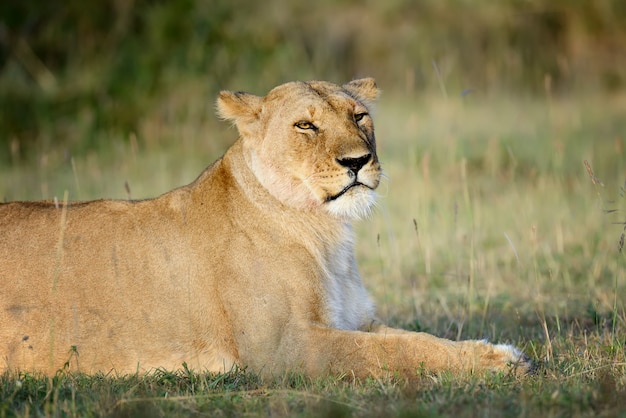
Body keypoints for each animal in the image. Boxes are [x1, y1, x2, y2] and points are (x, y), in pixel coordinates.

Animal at [0, 78, 528, 378]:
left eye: (359, 115)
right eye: (305, 126)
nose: (358, 161)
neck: (327, 233)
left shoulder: (353, 320)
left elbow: (418, 339)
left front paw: (494, 351)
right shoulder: (284, 348)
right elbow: (391, 354)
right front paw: (499, 363)